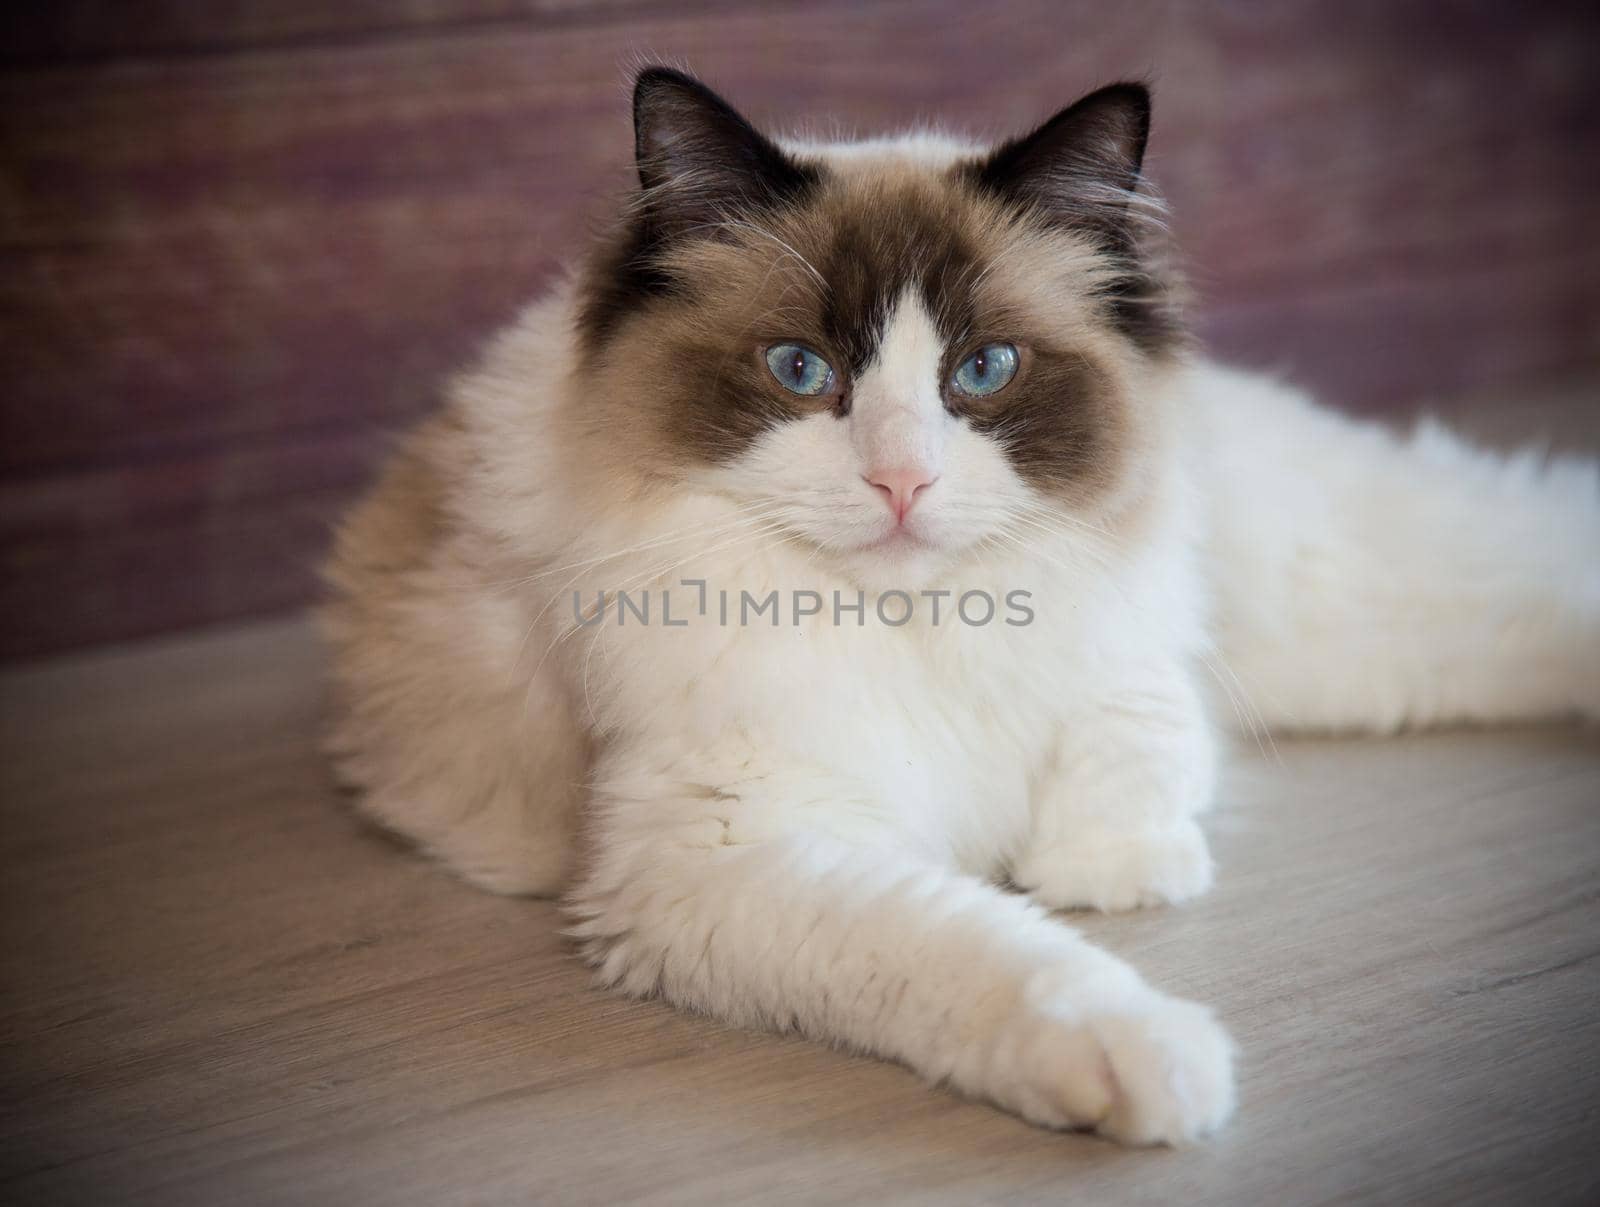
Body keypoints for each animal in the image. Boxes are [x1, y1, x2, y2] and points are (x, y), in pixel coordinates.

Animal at [324, 65, 1600, 1139]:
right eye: (802, 373)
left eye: (981, 371)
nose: (901, 482)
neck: (924, 624)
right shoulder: (728, 850)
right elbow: (997, 948)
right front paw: (1149, 1055)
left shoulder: (1135, 642)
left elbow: (1139, 743)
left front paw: (1112, 868)